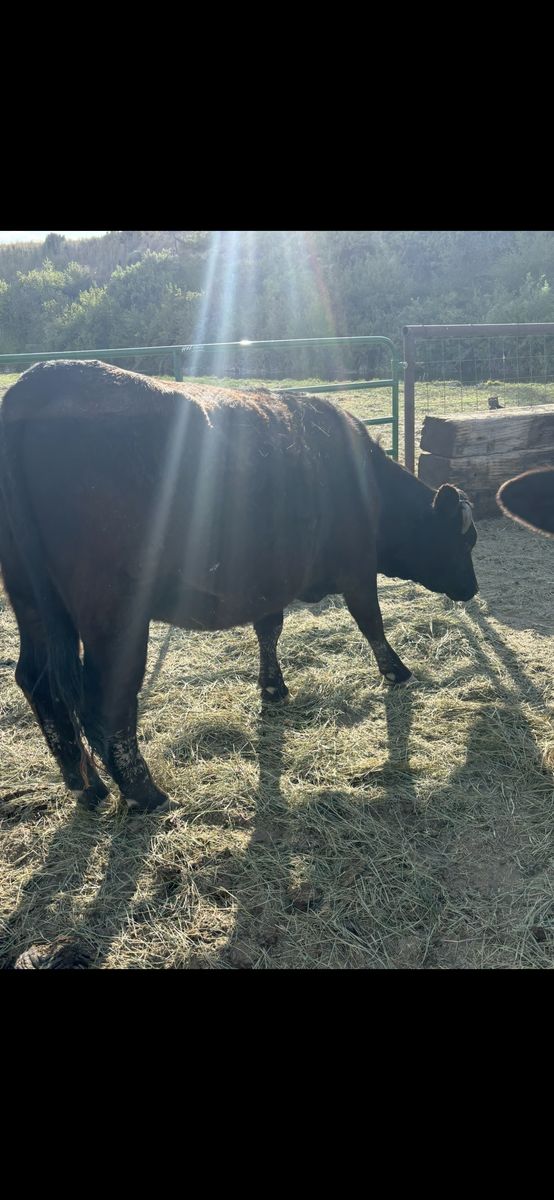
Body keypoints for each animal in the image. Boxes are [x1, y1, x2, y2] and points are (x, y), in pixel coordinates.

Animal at [0, 360, 479, 813]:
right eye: (466, 539)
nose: (472, 588)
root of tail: (39, 382)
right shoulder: (358, 568)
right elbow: (371, 623)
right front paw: (397, 672)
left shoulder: (269, 580)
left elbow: (269, 629)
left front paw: (272, 687)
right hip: (113, 610)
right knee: (105, 694)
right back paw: (143, 793)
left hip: (32, 601)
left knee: (38, 680)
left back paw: (86, 786)